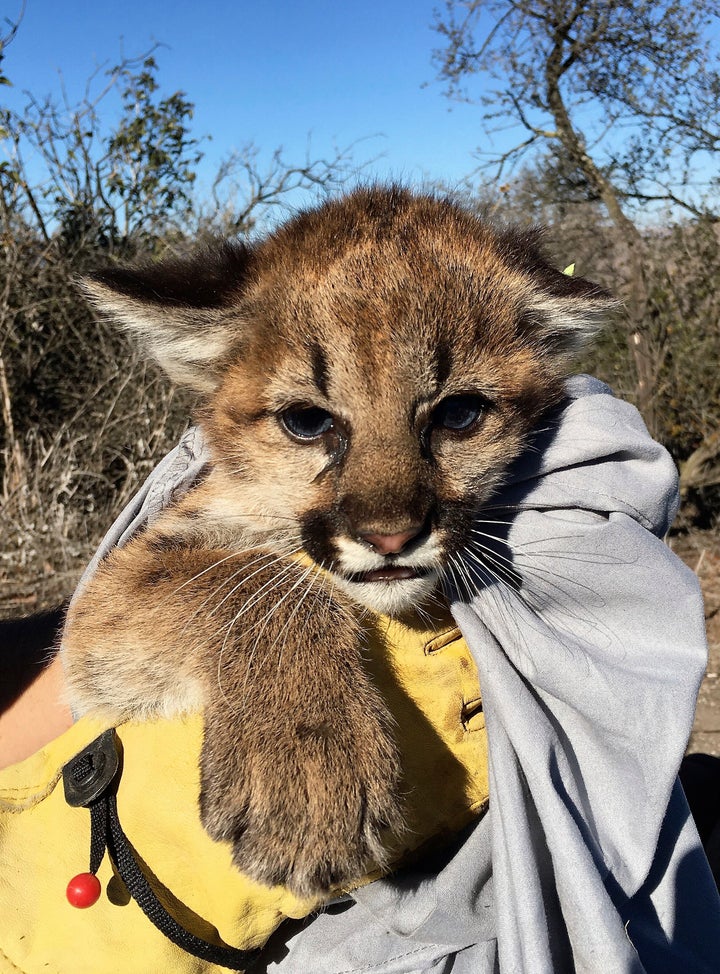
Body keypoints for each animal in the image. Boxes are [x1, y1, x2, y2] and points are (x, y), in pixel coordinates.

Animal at [63, 183, 612, 900]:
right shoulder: (108, 596)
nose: (392, 535)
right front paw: (307, 766)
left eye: (459, 414)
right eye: (307, 421)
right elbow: (254, 577)